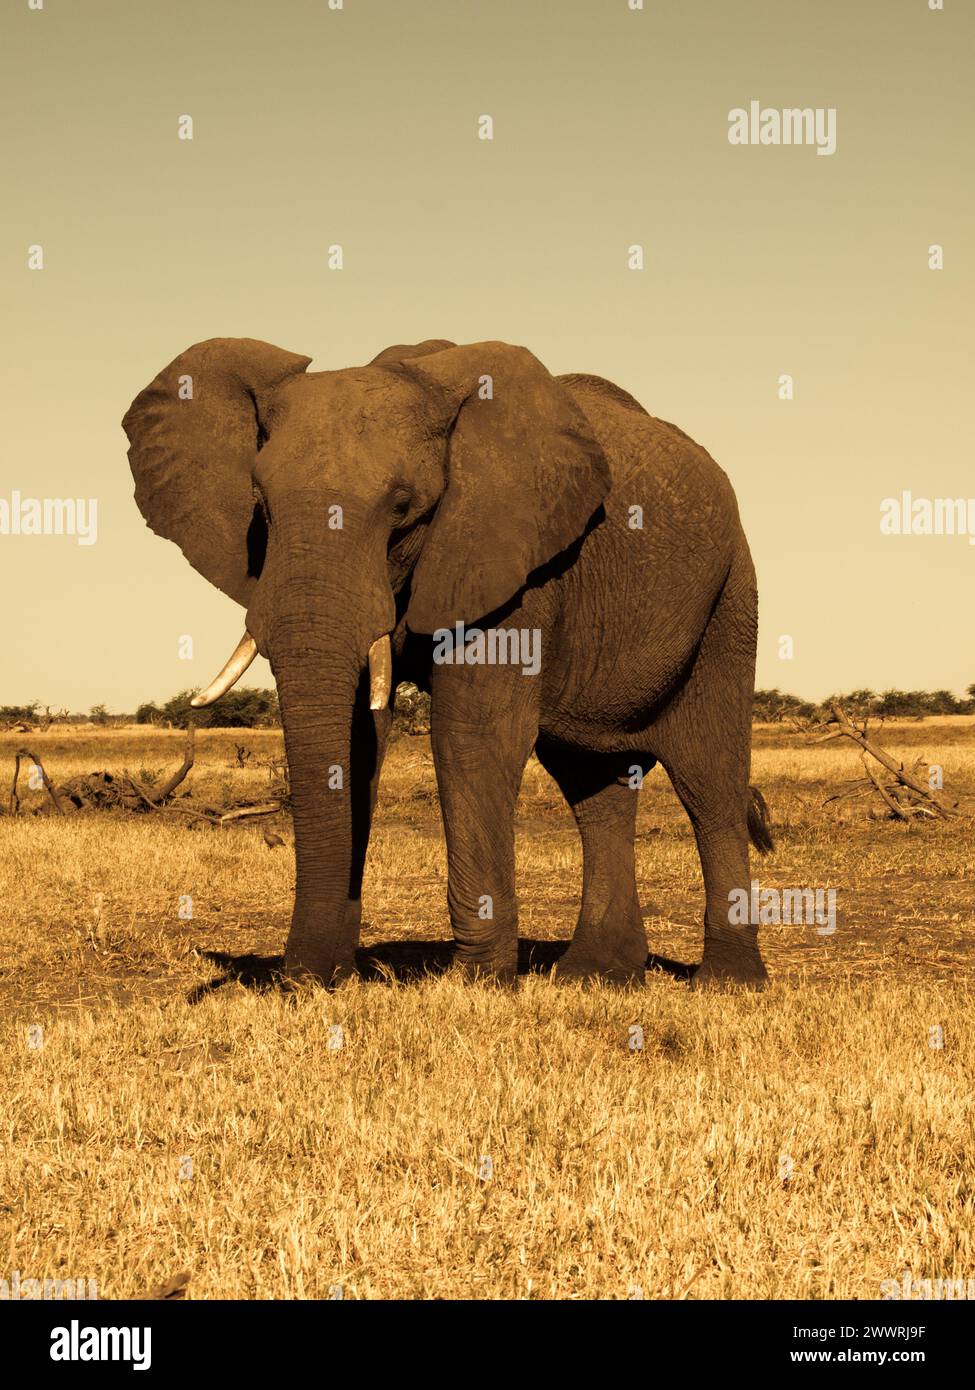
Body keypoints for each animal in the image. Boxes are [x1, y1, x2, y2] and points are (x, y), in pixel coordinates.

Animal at [123, 336, 773, 989]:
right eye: (261, 505)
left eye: (403, 507)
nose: (299, 979)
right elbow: (361, 737)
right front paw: (335, 978)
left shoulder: (510, 559)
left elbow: (473, 734)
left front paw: (477, 987)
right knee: (594, 787)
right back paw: (594, 976)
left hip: (730, 598)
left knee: (709, 781)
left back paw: (728, 983)